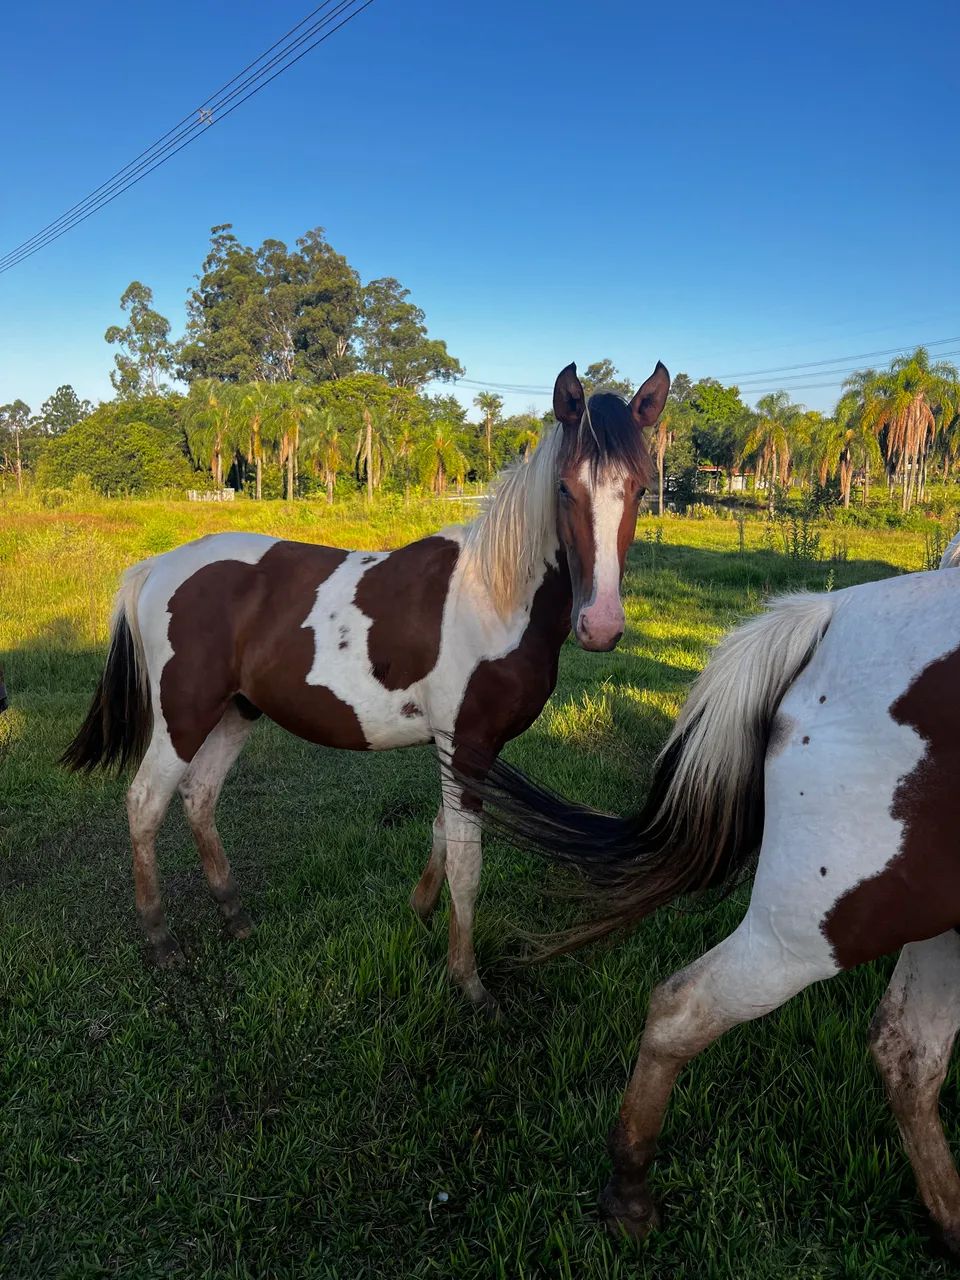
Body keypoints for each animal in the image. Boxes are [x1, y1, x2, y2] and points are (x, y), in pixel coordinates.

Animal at [61, 360, 670, 1012]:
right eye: (564, 488)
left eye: (639, 488)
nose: (600, 625)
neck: (494, 595)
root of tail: (157, 568)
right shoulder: (467, 746)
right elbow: (467, 863)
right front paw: (467, 979)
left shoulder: (460, 753)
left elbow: (441, 835)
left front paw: (421, 911)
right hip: (184, 716)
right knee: (145, 803)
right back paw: (161, 940)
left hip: (236, 712)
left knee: (199, 796)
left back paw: (235, 915)